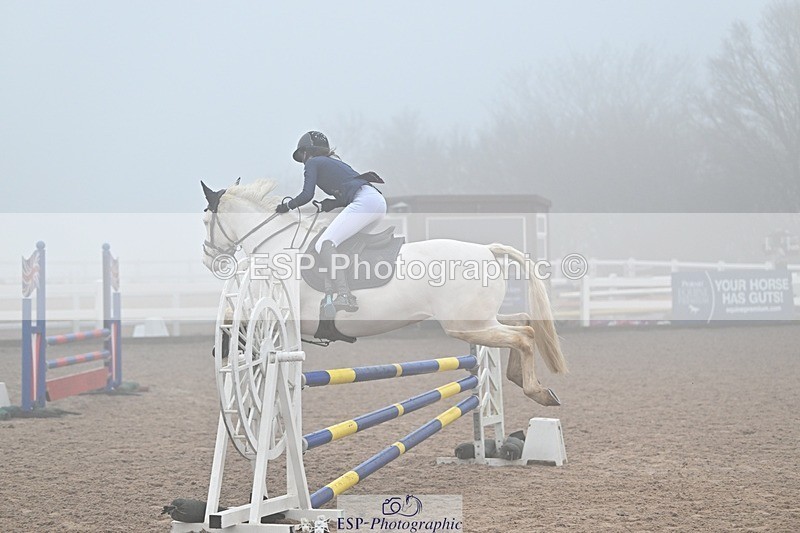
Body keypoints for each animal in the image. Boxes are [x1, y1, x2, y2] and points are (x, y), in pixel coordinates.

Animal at [201, 179, 567, 406]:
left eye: (205, 222)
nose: (209, 260)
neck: (276, 244)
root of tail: (488, 250)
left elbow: (237, 319)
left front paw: (226, 346)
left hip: (466, 325)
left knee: (523, 337)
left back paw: (537, 391)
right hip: (479, 320)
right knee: (524, 323)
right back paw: (523, 380)